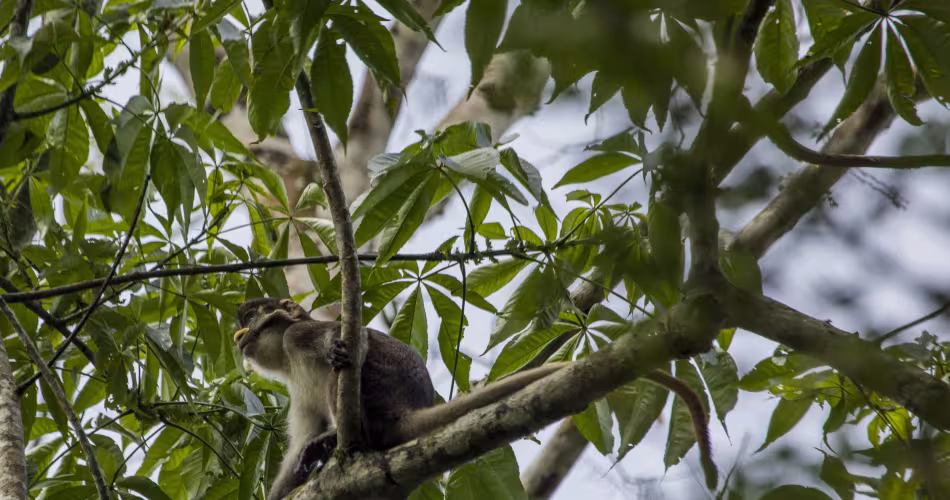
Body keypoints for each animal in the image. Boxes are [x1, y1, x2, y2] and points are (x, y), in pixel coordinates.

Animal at [233, 297, 568, 499]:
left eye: (250, 316)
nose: (238, 337)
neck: (288, 359)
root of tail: (405, 411)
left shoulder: (299, 334)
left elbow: (351, 340)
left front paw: (337, 350)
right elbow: (297, 449)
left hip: (377, 387)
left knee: (340, 375)